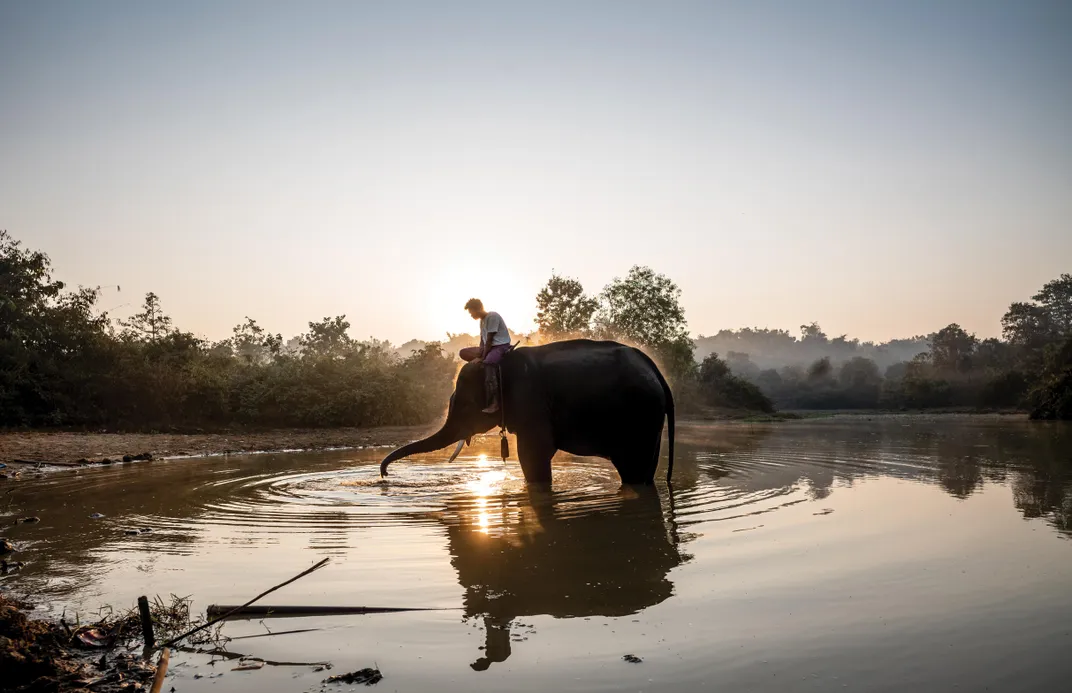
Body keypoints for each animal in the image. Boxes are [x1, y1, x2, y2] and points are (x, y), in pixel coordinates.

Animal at [381, 341, 673, 482]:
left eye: (464, 406)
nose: (385, 475)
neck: (500, 365)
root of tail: (656, 370)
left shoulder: (531, 403)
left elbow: (533, 455)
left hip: (640, 416)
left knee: (634, 469)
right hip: (649, 421)